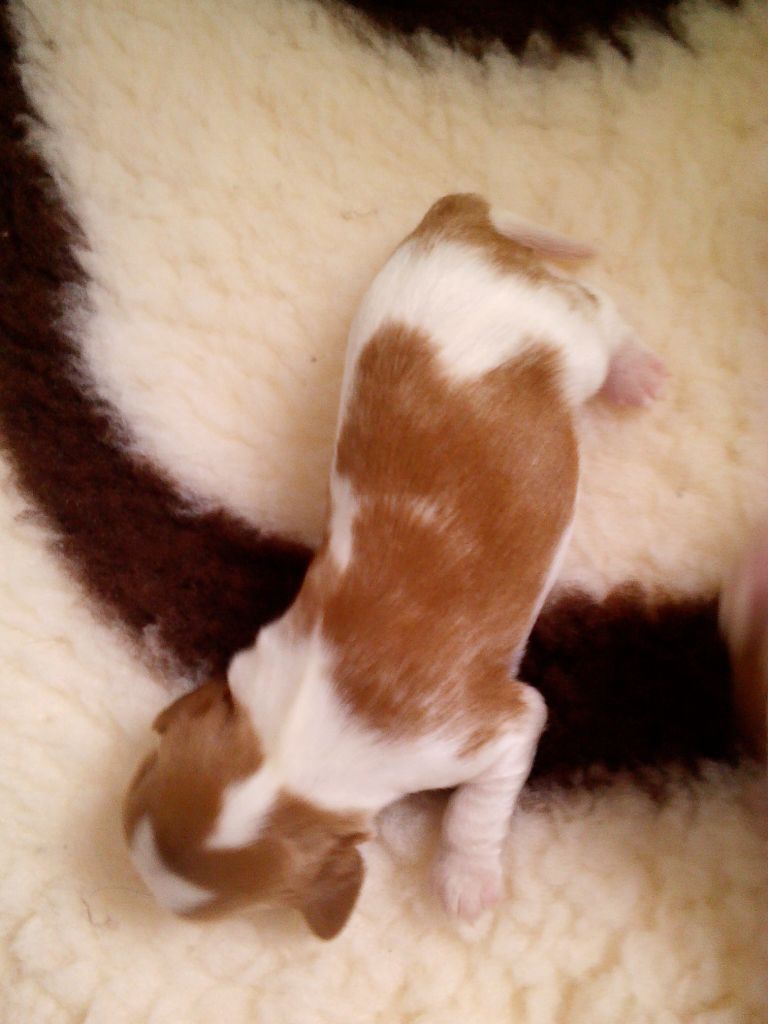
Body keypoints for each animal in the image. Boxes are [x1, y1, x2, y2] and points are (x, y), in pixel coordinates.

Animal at [123, 193, 666, 938]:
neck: (287, 748)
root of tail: (453, 224)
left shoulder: (498, 728)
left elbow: (477, 807)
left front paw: (464, 881)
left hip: (565, 333)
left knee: (598, 310)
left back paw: (635, 371)